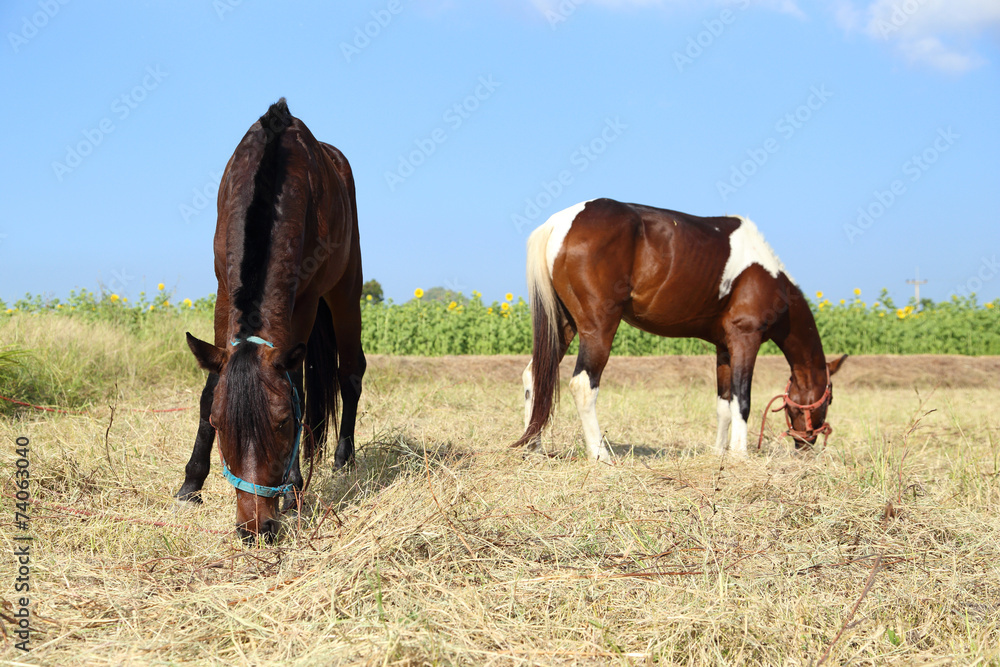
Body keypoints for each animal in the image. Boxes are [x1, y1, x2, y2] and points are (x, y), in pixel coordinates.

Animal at [175, 99, 367, 542]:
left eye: (283, 424)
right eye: (219, 424)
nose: (255, 527)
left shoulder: (306, 300)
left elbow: (297, 386)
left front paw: (294, 490)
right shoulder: (223, 291)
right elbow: (210, 386)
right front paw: (191, 484)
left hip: (346, 290)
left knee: (350, 373)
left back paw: (343, 460)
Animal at [514, 198, 846, 461]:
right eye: (829, 400)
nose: (806, 446)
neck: (766, 275)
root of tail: (560, 222)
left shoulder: (724, 349)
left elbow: (723, 404)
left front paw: (719, 453)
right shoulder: (745, 340)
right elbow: (742, 400)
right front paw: (739, 456)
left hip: (564, 325)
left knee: (536, 375)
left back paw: (534, 447)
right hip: (598, 328)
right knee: (583, 384)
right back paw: (600, 455)